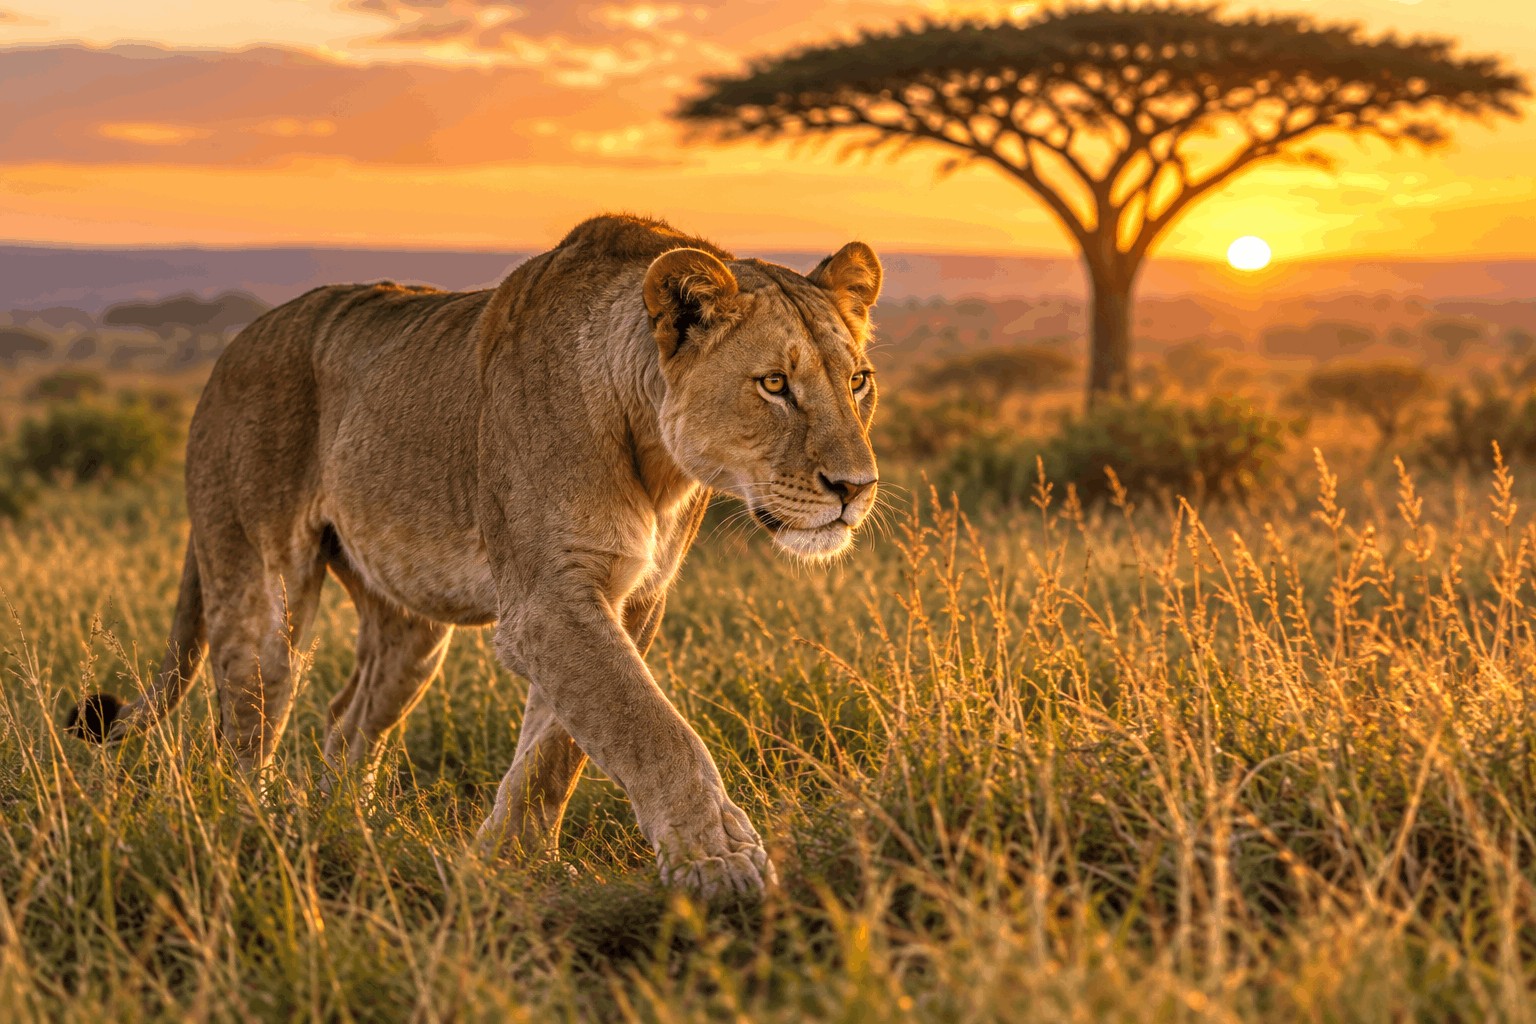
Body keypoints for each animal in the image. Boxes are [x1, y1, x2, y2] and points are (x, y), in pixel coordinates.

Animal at [67, 214, 883, 899]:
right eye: (774, 384)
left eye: (858, 382)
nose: (856, 488)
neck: (655, 455)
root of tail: (229, 350)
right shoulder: (548, 600)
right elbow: (649, 726)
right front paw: (720, 862)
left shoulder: (629, 601)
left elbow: (559, 749)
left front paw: (509, 858)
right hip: (258, 589)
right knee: (242, 727)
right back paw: (255, 830)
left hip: (408, 635)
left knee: (347, 721)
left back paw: (348, 831)